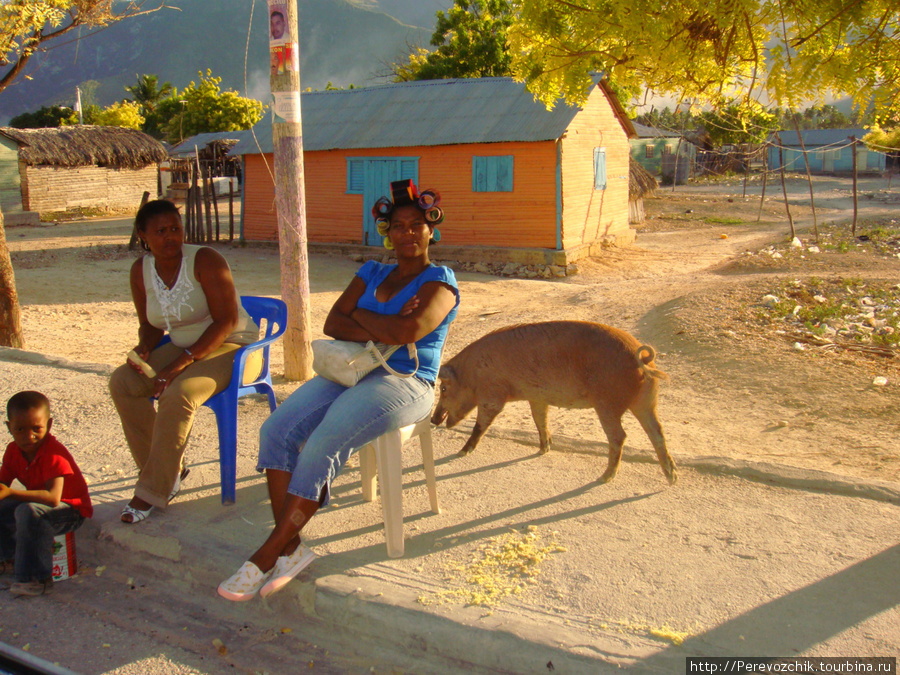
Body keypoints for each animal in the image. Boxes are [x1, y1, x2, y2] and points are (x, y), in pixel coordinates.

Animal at [430, 322, 676, 486]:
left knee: (620, 436)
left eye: (443, 389)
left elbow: (481, 425)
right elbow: (540, 420)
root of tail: (640, 357)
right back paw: (672, 477)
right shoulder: (537, 397)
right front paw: (543, 449)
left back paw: (604, 477)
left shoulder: (493, 395)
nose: (433, 419)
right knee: (658, 432)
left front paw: (461, 453)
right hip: (646, 402)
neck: (472, 373)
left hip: (607, 403)